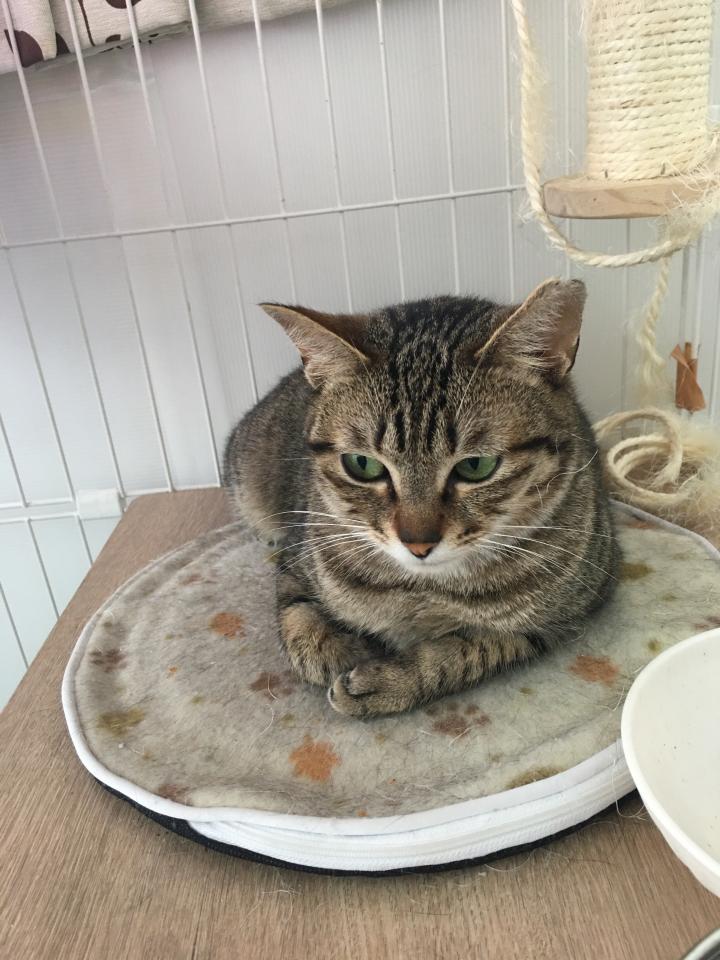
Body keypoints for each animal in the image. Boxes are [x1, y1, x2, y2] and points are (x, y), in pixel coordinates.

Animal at [223, 279, 620, 718]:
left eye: (476, 466)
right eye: (362, 464)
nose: (417, 543)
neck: (424, 591)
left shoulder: (563, 617)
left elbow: (464, 651)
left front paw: (387, 681)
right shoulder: (296, 553)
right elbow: (295, 608)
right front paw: (333, 648)